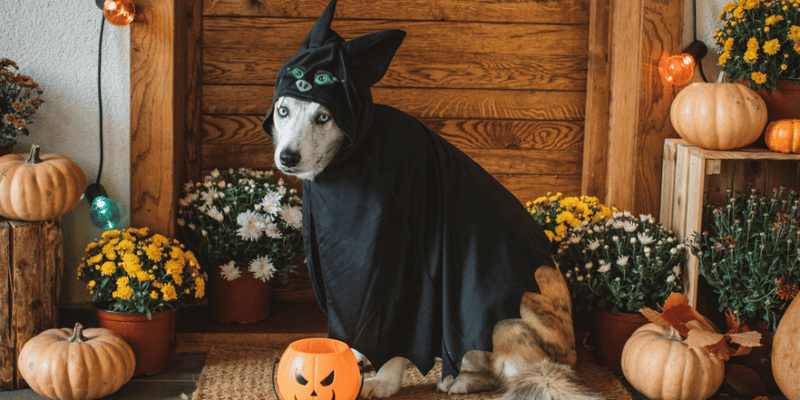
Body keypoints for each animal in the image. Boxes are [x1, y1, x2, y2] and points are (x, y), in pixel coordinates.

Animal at [264, 1, 608, 398]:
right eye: (283, 111)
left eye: (324, 116)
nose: (288, 158)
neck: (353, 155)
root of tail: (569, 359)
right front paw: (356, 357)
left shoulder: (400, 268)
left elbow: (397, 332)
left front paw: (382, 382)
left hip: (502, 317)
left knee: (515, 374)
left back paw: (460, 380)